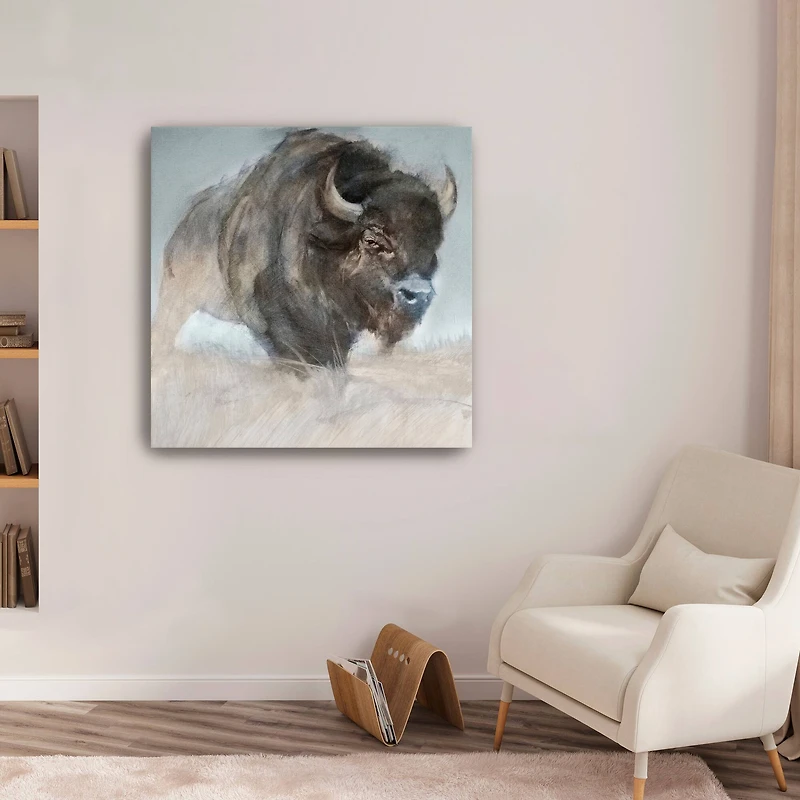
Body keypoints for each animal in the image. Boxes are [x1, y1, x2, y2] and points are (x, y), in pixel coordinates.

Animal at [153, 129, 457, 368]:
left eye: (434, 243)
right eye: (372, 240)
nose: (418, 295)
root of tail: (182, 227)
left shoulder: (338, 332)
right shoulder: (276, 328)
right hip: (176, 297)